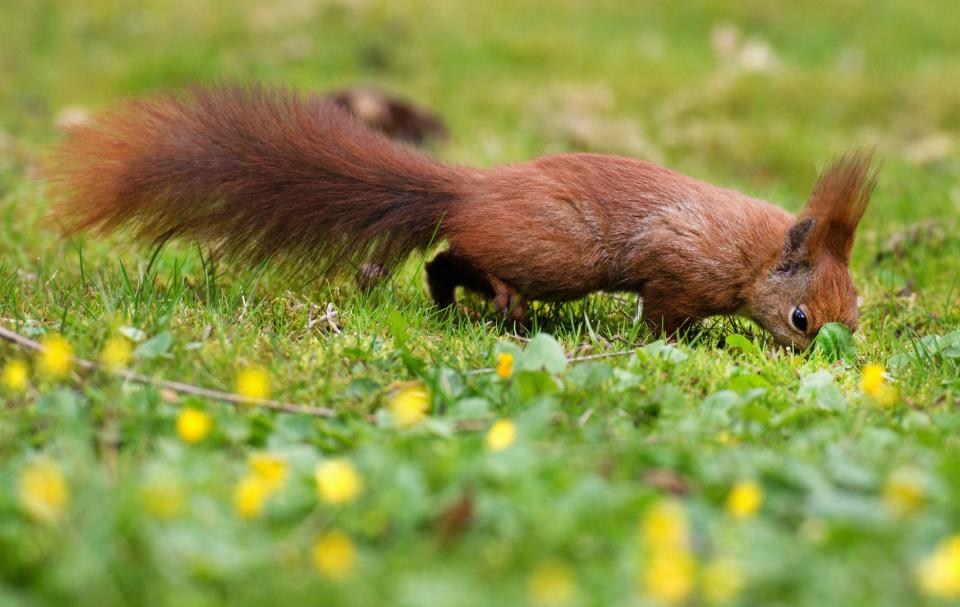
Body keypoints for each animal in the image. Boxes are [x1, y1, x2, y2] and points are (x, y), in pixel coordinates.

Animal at [50, 86, 876, 352]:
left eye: (858, 310)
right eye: (801, 317)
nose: (817, 355)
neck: (752, 252)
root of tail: (469, 189)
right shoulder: (678, 265)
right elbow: (663, 316)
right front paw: (692, 341)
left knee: (441, 260)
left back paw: (455, 302)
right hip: (559, 255)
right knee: (453, 256)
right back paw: (489, 302)